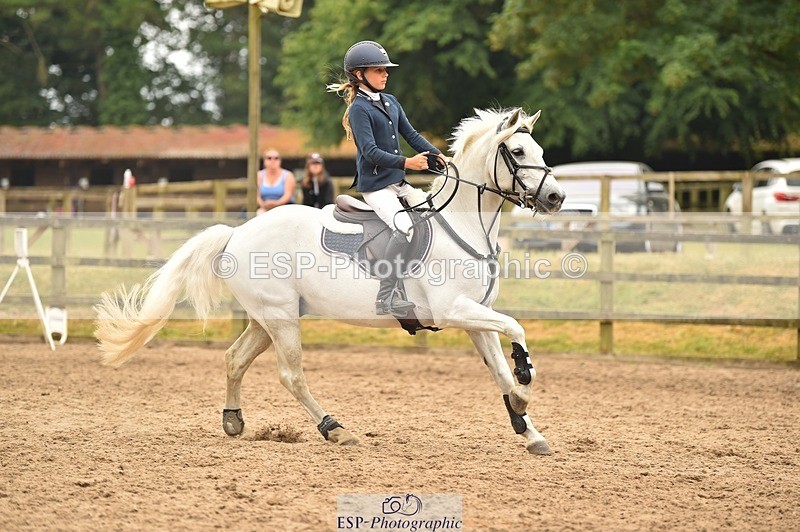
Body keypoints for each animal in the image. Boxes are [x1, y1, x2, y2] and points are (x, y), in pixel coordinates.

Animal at [95, 107, 566, 455]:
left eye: (539, 148)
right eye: (518, 150)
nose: (556, 197)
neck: (466, 226)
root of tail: (237, 232)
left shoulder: (474, 316)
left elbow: (499, 369)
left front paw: (528, 428)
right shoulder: (453, 311)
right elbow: (516, 331)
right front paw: (525, 380)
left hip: (267, 317)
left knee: (235, 359)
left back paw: (233, 421)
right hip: (281, 317)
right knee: (292, 375)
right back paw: (335, 428)